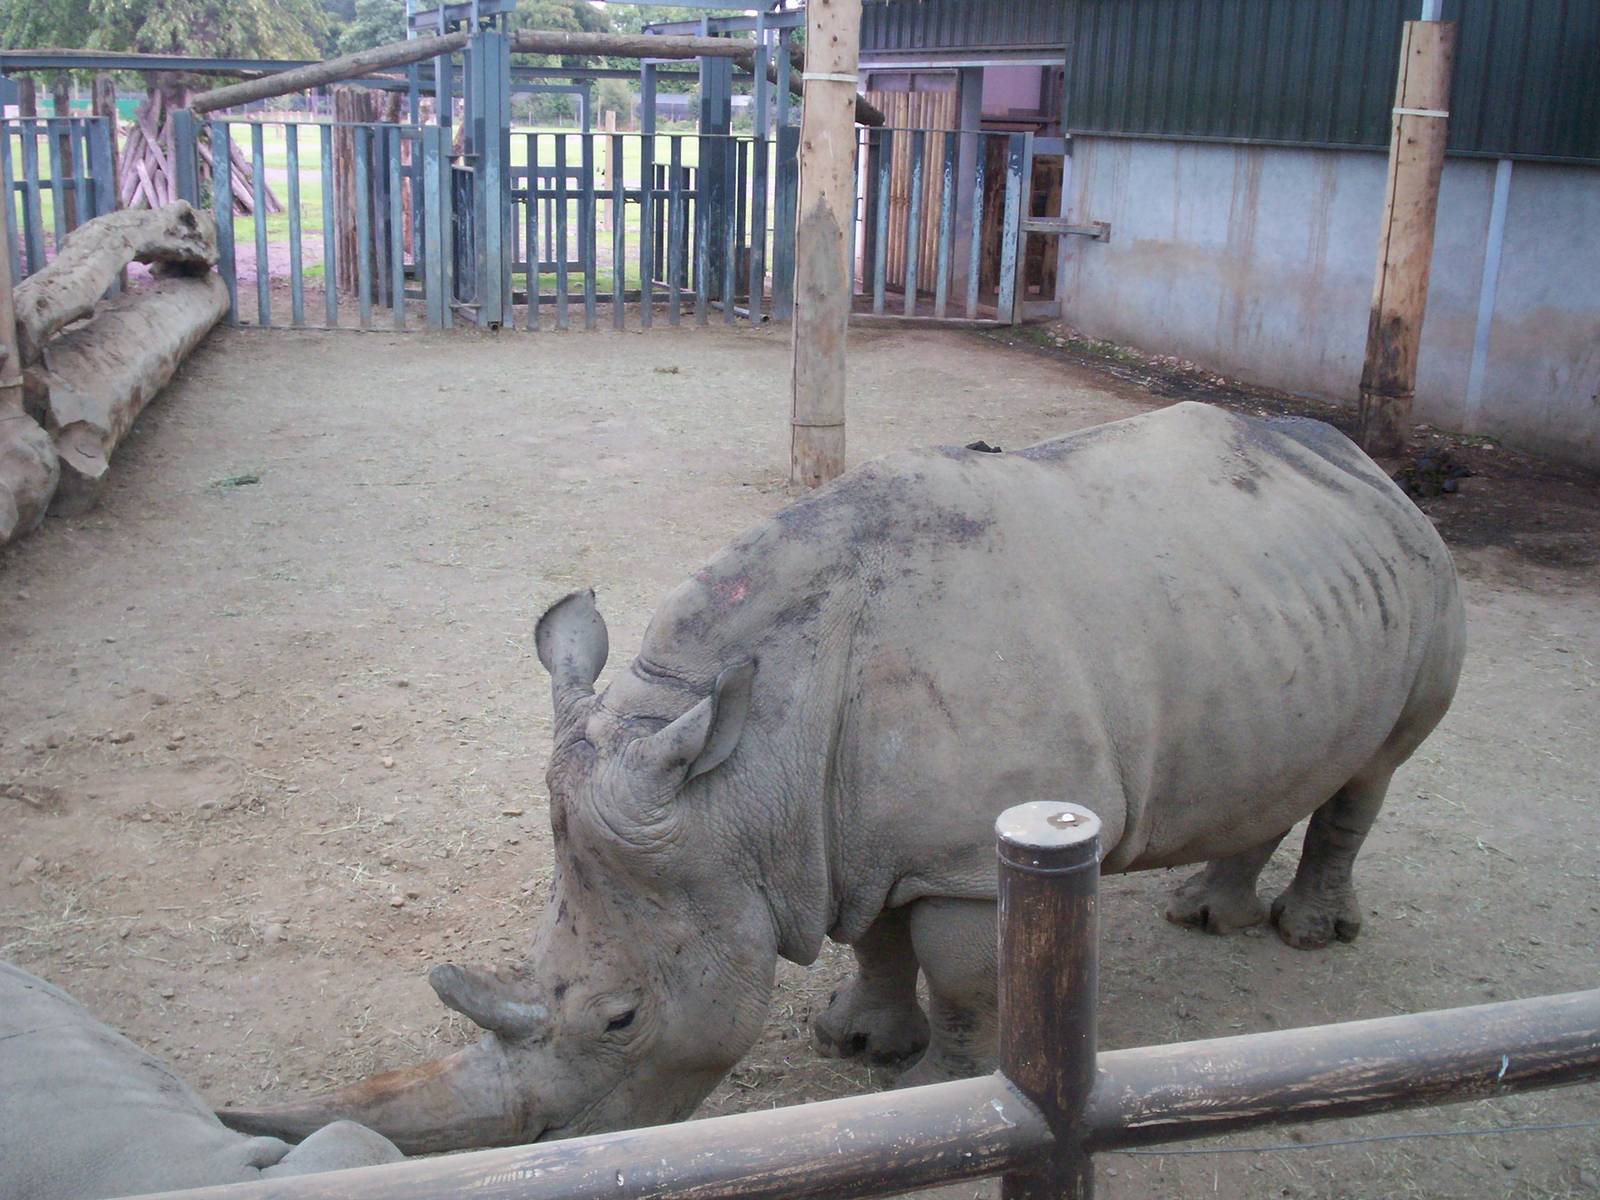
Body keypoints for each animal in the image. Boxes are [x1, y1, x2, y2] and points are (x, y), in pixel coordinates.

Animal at [224, 402, 1465, 1154]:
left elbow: (965, 976)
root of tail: (1365, 460)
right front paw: (857, 1044)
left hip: (1422, 573)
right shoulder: (848, 833)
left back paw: (1306, 938)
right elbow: (875, 938)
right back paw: (1205, 916)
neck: (747, 762)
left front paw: (945, 1094)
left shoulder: (969, 858)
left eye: (620, 1019)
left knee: (1380, 761)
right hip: (1281, 586)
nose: (550, 1149)